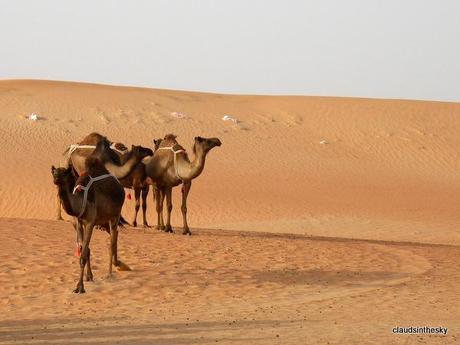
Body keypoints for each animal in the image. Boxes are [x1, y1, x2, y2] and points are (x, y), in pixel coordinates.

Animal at [51, 148, 126, 292]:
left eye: (63, 174)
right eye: (53, 173)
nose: (56, 179)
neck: (80, 201)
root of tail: (120, 187)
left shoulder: (90, 222)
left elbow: (84, 254)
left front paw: (80, 287)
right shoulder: (79, 223)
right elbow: (85, 250)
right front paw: (89, 277)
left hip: (115, 215)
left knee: (112, 240)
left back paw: (111, 272)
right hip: (104, 220)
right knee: (114, 236)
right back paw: (118, 264)